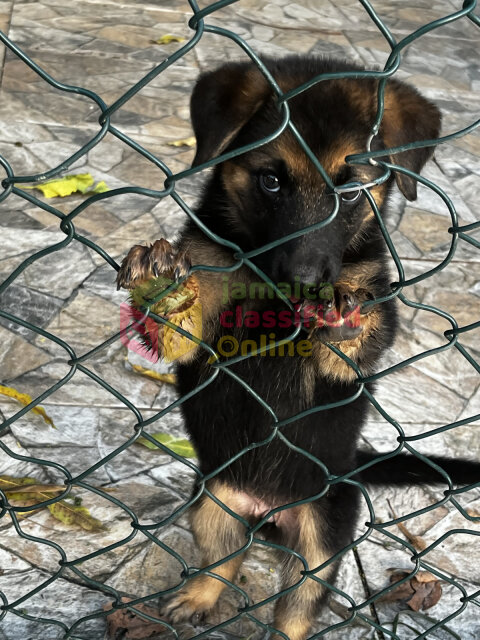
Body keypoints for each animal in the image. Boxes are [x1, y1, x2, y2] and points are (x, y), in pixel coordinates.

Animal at [117, 56, 480, 640]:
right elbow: (182, 323)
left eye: (351, 194)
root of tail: (268, 512)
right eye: (271, 181)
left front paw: (344, 315)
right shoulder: (207, 294)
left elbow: (357, 339)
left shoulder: (351, 344)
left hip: (324, 530)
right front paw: (165, 289)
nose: (304, 283)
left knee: (297, 605)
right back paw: (197, 597)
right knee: (225, 560)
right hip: (213, 501)